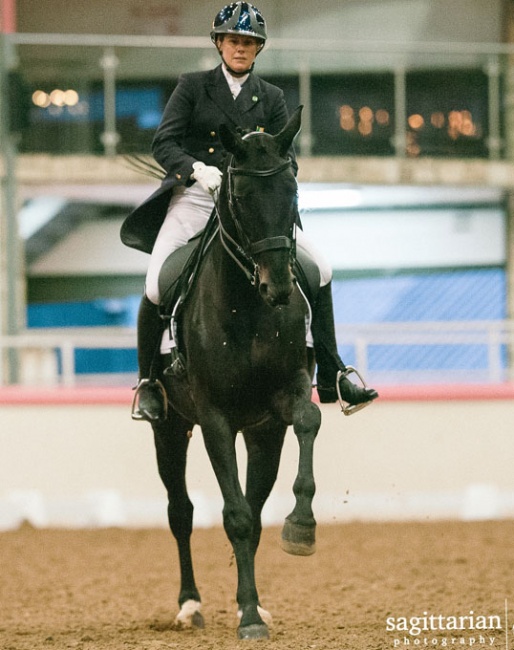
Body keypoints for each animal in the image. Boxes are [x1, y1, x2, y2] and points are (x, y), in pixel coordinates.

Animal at [148, 106, 318, 636]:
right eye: (240, 197)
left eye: (293, 190)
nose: (278, 287)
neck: (249, 307)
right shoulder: (214, 419)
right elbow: (236, 515)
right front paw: (248, 616)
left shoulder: (284, 401)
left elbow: (308, 421)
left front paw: (301, 528)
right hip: (170, 427)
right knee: (180, 512)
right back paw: (190, 605)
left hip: (262, 434)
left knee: (254, 507)